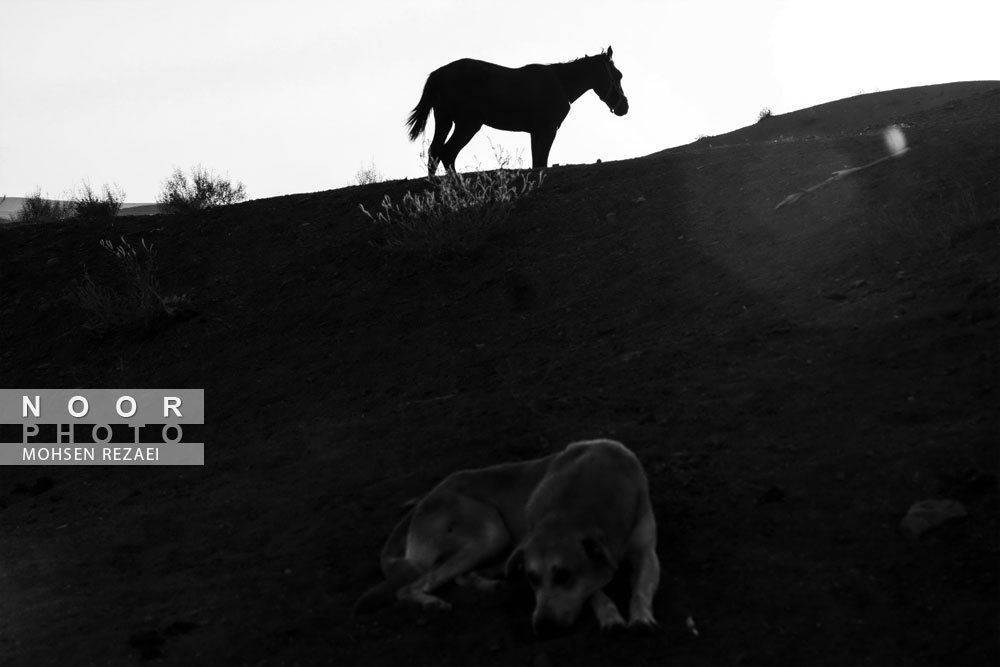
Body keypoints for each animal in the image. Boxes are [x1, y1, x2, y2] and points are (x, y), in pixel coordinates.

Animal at [356, 438, 660, 632]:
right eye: (532, 579)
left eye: (564, 576)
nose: (542, 626)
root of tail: (422, 502)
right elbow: (595, 589)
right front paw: (610, 615)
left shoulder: (646, 553)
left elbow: (640, 588)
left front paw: (641, 617)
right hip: (490, 533)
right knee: (412, 586)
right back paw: (433, 603)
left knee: (462, 574)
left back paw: (489, 585)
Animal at [404, 47, 624, 177]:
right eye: (618, 75)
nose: (625, 106)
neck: (560, 83)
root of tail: (438, 74)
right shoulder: (548, 130)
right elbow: (541, 161)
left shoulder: (536, 132)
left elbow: (537, 162)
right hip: (467, 125)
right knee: (447, 153)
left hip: (445, 121)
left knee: (434, 152)